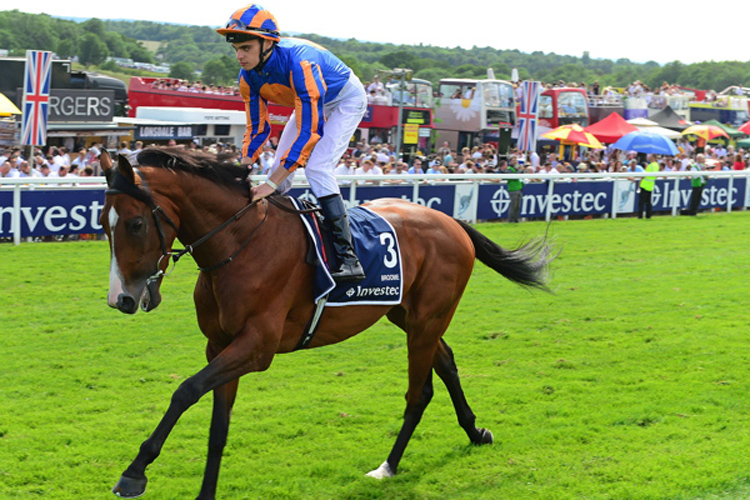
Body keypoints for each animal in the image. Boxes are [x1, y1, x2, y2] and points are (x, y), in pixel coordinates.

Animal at [101, 148, 552, 500]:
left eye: (136, 223)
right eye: (104, 223)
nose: (121, 299)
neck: (240, 244)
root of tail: (452, 222)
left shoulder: (257, 347)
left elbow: (185, 390)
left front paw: (134, 473)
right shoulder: (221, 344)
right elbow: (217, 426)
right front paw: (204, 491)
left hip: (428, 318)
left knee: (418, 393)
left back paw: (388, 465)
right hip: (409, 315)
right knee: (446, 363)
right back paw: (475, 432)